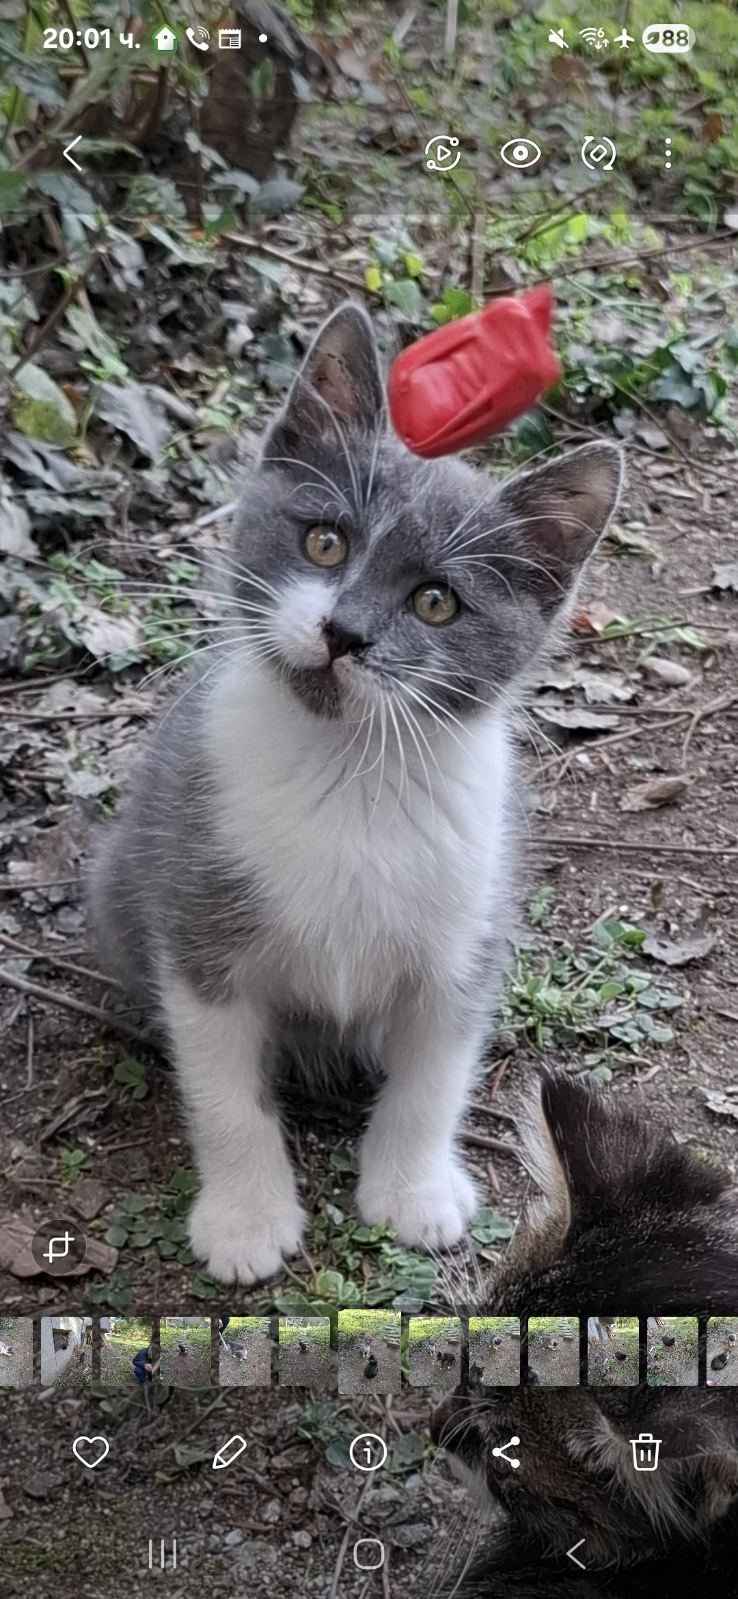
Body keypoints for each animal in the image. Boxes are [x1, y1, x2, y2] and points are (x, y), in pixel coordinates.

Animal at [88, 302, 623, 1286]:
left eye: (437, 602)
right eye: (324, 541)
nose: (343, 632)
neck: (349, 773)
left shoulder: (467, 927)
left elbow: (435, 1072)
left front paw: (414, 1190)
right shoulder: (197, 922)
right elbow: (224, 1085)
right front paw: (247, 1218)